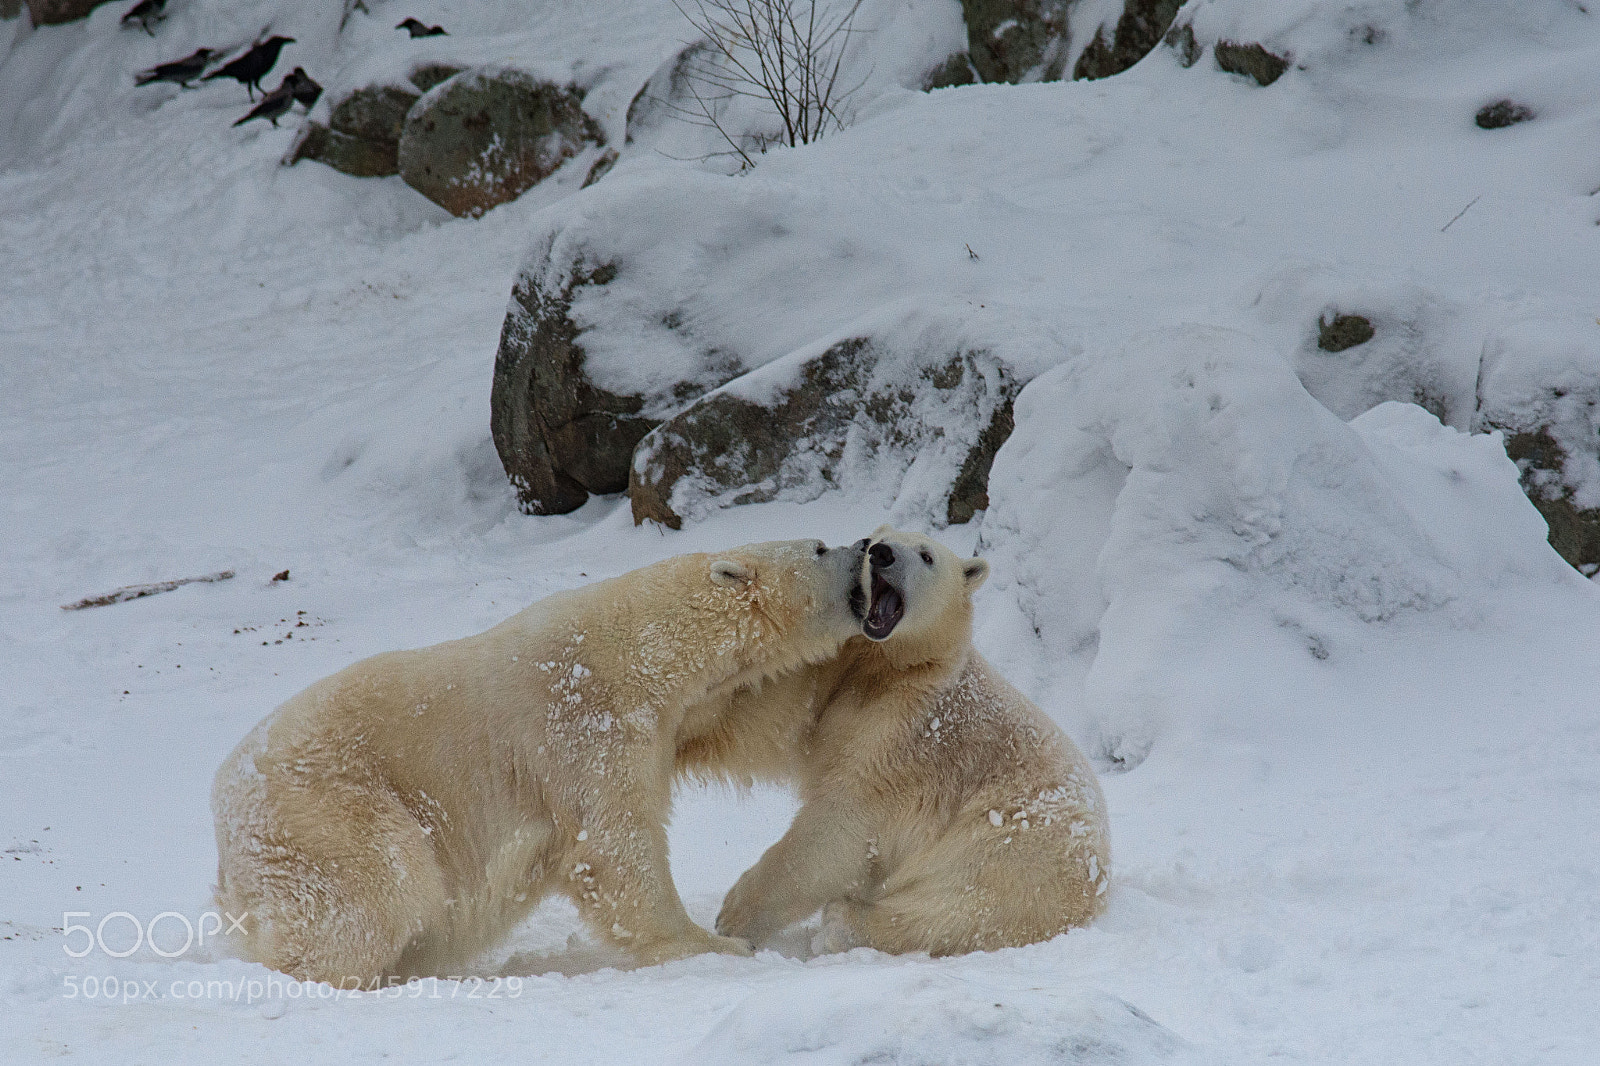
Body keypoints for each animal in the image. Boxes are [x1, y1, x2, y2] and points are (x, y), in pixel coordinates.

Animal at [211, 538, 869, 985]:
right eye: (819, 546)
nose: (865, 545)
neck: (640, 649)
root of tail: (225, 813)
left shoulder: (676, 721)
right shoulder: (583, 725)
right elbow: (612, 844)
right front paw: (714, 946)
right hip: (327, 810)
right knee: (381, 890)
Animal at [698, 526, 1111, 956]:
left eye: (926, 556)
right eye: (874, 538)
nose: (880, 553)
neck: (892, 667)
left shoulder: (906, 737)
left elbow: (839, 827)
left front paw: (734, 916)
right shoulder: (832, 679)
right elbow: (763, 720)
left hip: (1017, 841)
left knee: (964, 905)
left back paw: (843, 924)